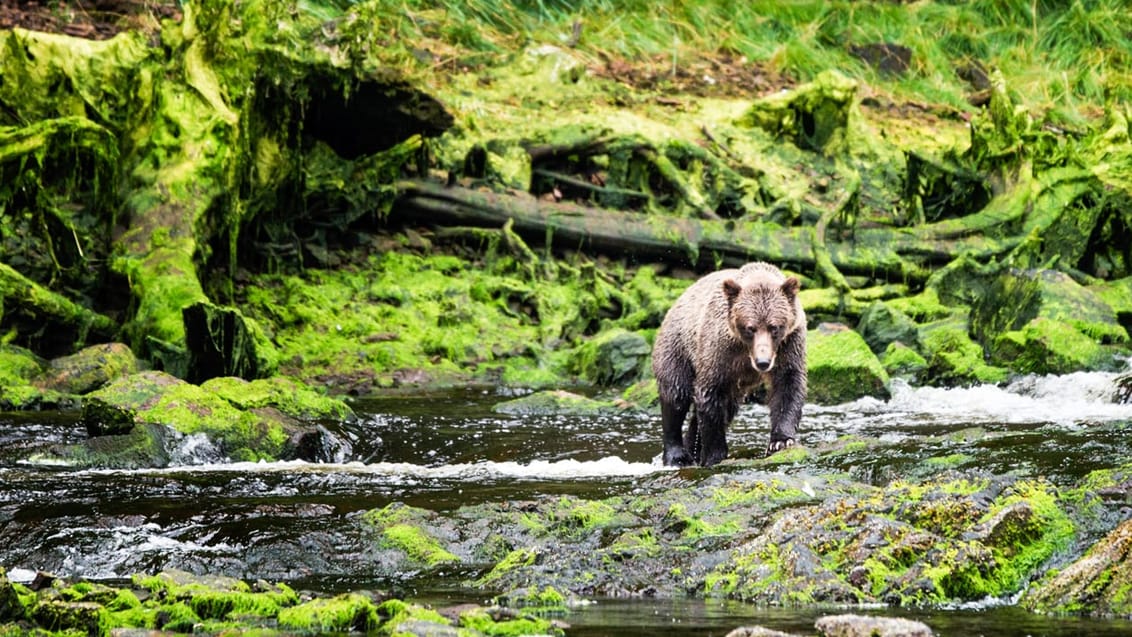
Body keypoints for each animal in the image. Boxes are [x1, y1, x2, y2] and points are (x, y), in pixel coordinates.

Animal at [652, 261, 810, 466]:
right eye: (750, 328)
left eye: (774, 327)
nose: (763, 362)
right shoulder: (719, 350)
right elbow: (710, 394)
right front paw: (714, 455)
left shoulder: (789, 344)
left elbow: (788, 386)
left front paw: (781, 441)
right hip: (677, 347)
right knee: (675, 396)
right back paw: (677, 455)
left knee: (724, 408)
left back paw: (692, 448)